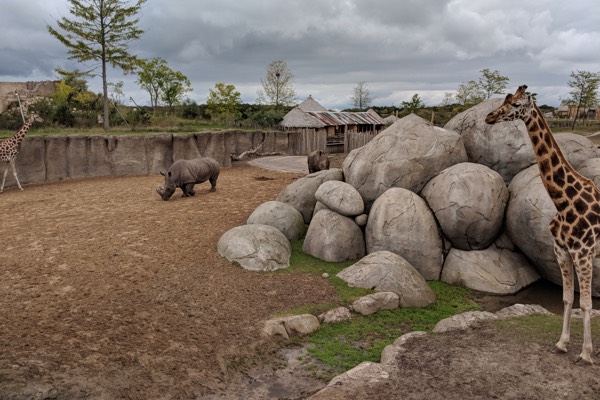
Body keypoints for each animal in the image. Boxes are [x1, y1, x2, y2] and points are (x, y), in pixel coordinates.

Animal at [486, 85, 600, 366]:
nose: (489, 117)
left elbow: (586, 304)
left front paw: (586, 354)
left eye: (517, 104)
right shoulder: (561, 250)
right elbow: (568, 298)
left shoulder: (583, 252)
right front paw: (562, 344)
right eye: (506, 99)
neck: (563, 202)